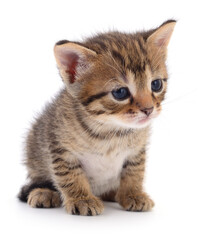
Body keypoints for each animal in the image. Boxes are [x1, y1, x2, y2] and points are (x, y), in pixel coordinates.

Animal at [18, 20, 176, 216]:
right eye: (120, 92)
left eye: (156, 84)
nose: (148, 109)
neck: (110, 131)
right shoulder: (59, 147)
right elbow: (70, 175)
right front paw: (82, 199)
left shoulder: (137, 150)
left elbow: (134, 171)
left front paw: (133, 194)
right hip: (34, 147)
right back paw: (43, 192)